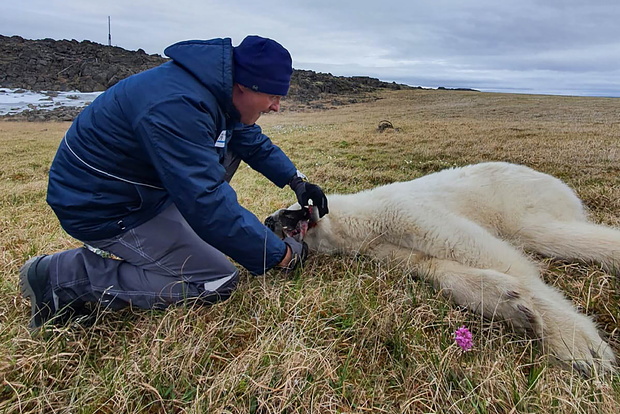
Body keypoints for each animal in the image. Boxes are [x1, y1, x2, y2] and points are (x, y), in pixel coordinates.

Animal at [268, 162, 620, 376]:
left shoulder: (401, 211)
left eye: (288, 209)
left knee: (547, 232)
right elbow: (432, 266)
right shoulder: (383, 247)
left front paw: (577, 344)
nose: (270, 220)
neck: (360, 220)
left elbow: (475, 248)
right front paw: (509, 302)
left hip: (519, 199)